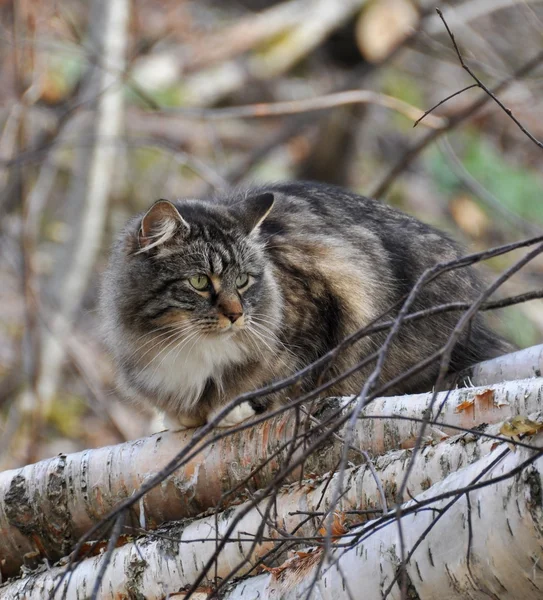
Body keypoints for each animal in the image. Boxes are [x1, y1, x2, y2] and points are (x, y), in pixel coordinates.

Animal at [101, 180, 510, 428]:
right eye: (200, 282)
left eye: (244, 281)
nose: (236, 315)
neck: (191, 349)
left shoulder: (323, 311)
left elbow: (280, 384)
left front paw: (233, 409)